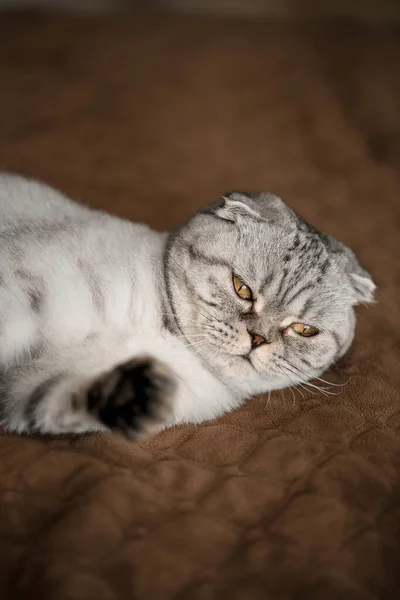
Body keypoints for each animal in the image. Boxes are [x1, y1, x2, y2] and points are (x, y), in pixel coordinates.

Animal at [0, 173, 376, 436]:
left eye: (303, 329)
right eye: (242, 289)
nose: (258, 339)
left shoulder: (27, 388)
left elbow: (71, 398)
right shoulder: (22, 296)